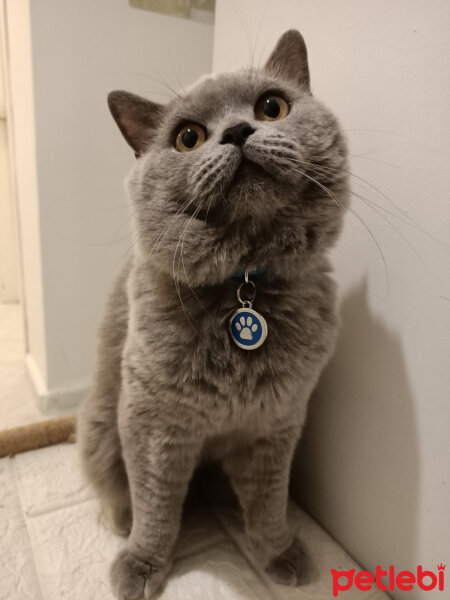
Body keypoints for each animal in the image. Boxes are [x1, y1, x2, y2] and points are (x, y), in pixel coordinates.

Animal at [78, 29, 348, 600]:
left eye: (272, 107)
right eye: (187, 138)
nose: (239, 131)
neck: (243, 283)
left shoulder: (277, 421)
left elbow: (268, 499)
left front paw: (278, 552)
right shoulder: (151, 422)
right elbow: (156, 504)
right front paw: (141, 565)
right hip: (98, 425)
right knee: (113, 484)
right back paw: (116, 519)